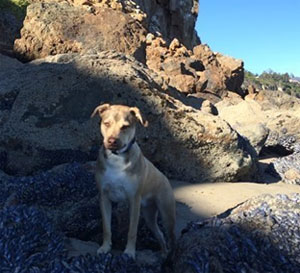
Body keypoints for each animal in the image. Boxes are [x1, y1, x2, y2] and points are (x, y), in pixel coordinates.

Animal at [91, 103, 176, 258]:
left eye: (125, 127)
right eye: (106, 123)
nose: (112, 141)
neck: (116, 157)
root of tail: (165, 178)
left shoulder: (134, 201)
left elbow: (132, 231)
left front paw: (129, 252)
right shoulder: (104, 198)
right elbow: (106, 227)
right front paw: (105, 247)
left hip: (167, 215)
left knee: (171, 237)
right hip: (149, 217)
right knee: (160, 234)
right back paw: (163, 253)